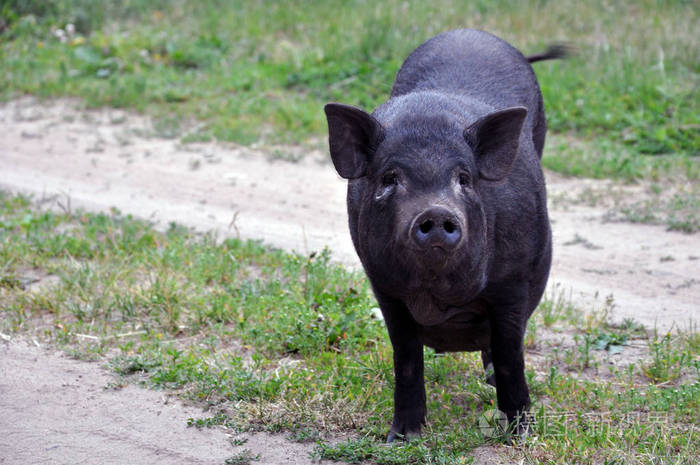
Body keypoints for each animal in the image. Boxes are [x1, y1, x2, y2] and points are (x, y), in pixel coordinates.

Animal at [326, 29, 560, 442]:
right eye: (389, 178)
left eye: (464, 178)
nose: (436, 212)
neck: (437, 294)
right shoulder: (384, 286)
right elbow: (406, 357)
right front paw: (402, 438)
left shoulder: (513, 282)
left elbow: (510, 355)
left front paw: (520, 435)